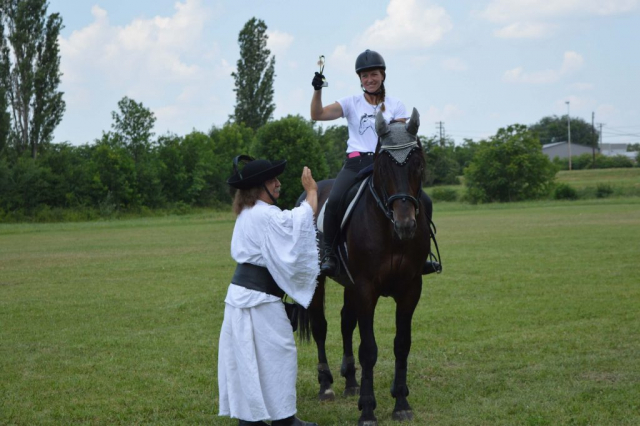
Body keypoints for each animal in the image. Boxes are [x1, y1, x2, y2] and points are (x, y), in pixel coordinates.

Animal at [300, 108, 430, 424]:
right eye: (383, 165)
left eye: (418, 163)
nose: (406, 224)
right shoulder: (366, 288)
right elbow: (368, 349)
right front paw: (369, 409)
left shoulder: (411, 288)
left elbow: (402, 343)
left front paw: (401, 403)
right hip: (320, 280)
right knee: (321, 327)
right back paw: (326, 386)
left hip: (349, 285)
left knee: (346, 322)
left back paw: (350, 383)